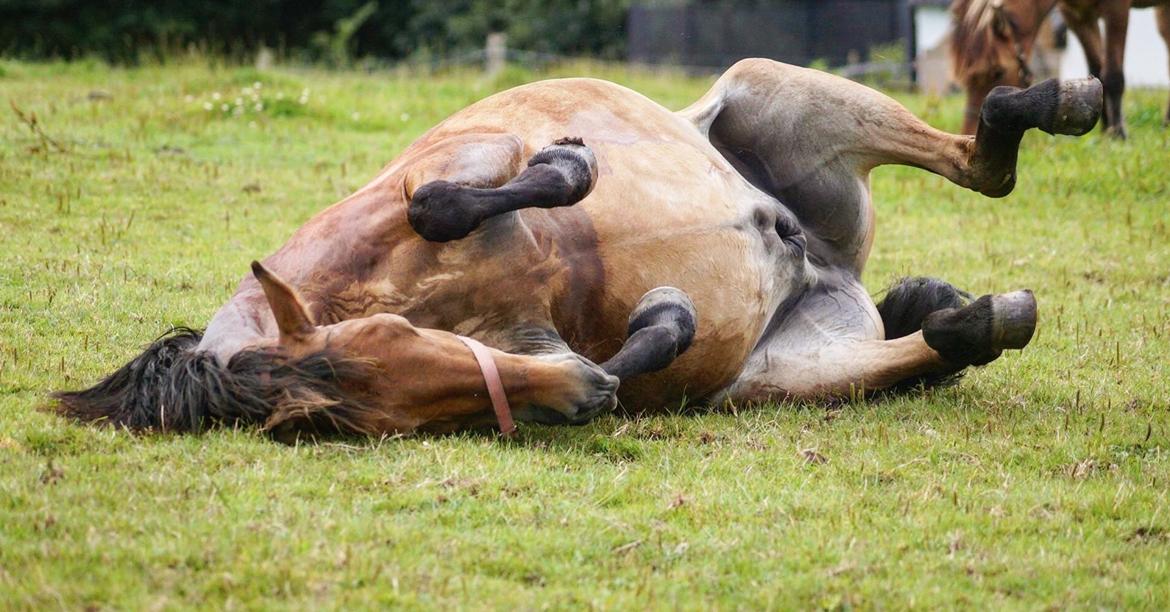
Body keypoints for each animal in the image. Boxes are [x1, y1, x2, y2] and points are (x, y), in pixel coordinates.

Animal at [47, 58, 1104, 439]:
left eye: (394, 343)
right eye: (373, 421)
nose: (579, 389)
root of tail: (820, 259)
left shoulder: (462, 157)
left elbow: (447, 201)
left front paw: (568, 162)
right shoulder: (542, 355)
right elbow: (623, 361)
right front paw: (652, 330)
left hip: (774, 88)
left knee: (980, 162)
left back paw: (1058, 101)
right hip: (787, 375)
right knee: (950, 325)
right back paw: (976, 313)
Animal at [950, 0, 1170, 137]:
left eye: (998, 72)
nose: (969, 133)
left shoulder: (1116, 10)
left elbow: (1113, 76)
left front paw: (1117, 134)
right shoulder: (1077, 15)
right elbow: (1097, 71)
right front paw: (1105, 130)